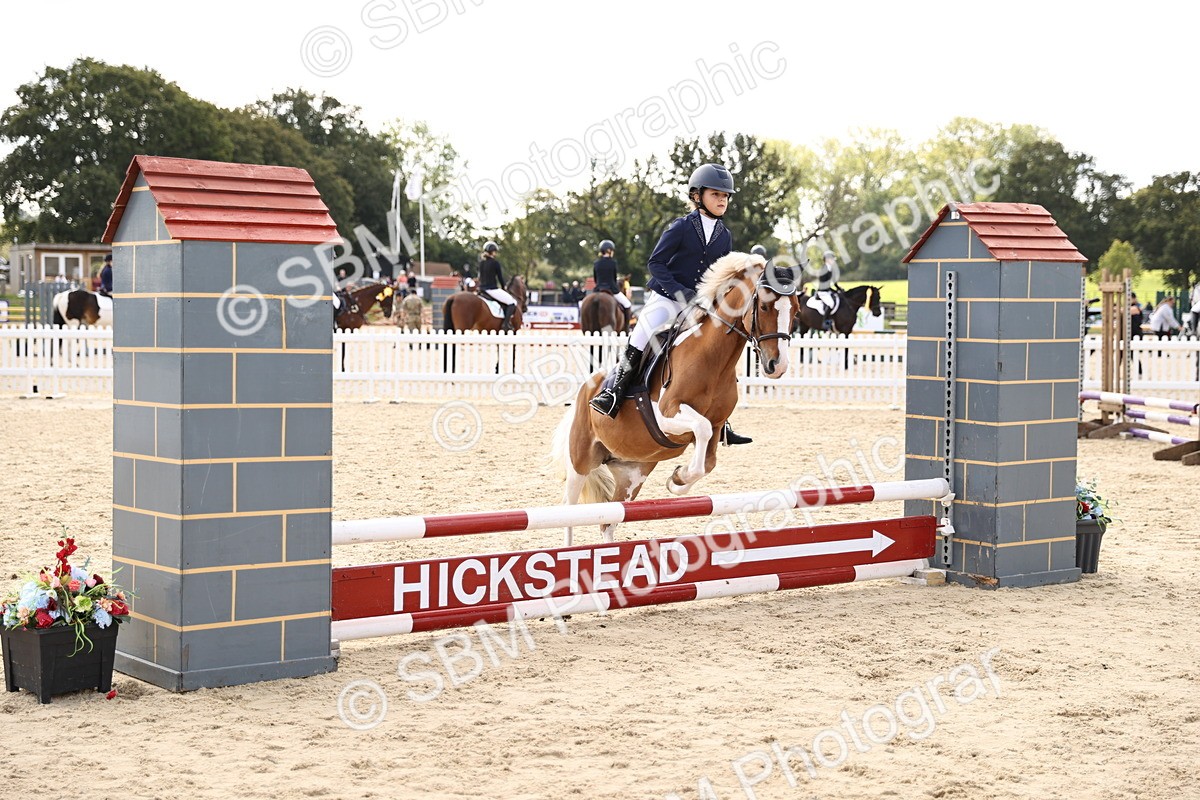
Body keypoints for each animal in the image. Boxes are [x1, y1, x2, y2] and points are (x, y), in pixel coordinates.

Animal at [548, 252, 799, 545]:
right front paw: (678, 477)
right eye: (765, 307)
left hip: (632, 473)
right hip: (581, 460)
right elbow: (700, 429)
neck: (713, 358)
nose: (777, 366)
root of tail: (586, 389)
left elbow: (708, 462)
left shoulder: (717, 425)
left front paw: (677, 479)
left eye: (796, 310)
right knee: (569, 509)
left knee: (608, 521)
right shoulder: (668, 414)